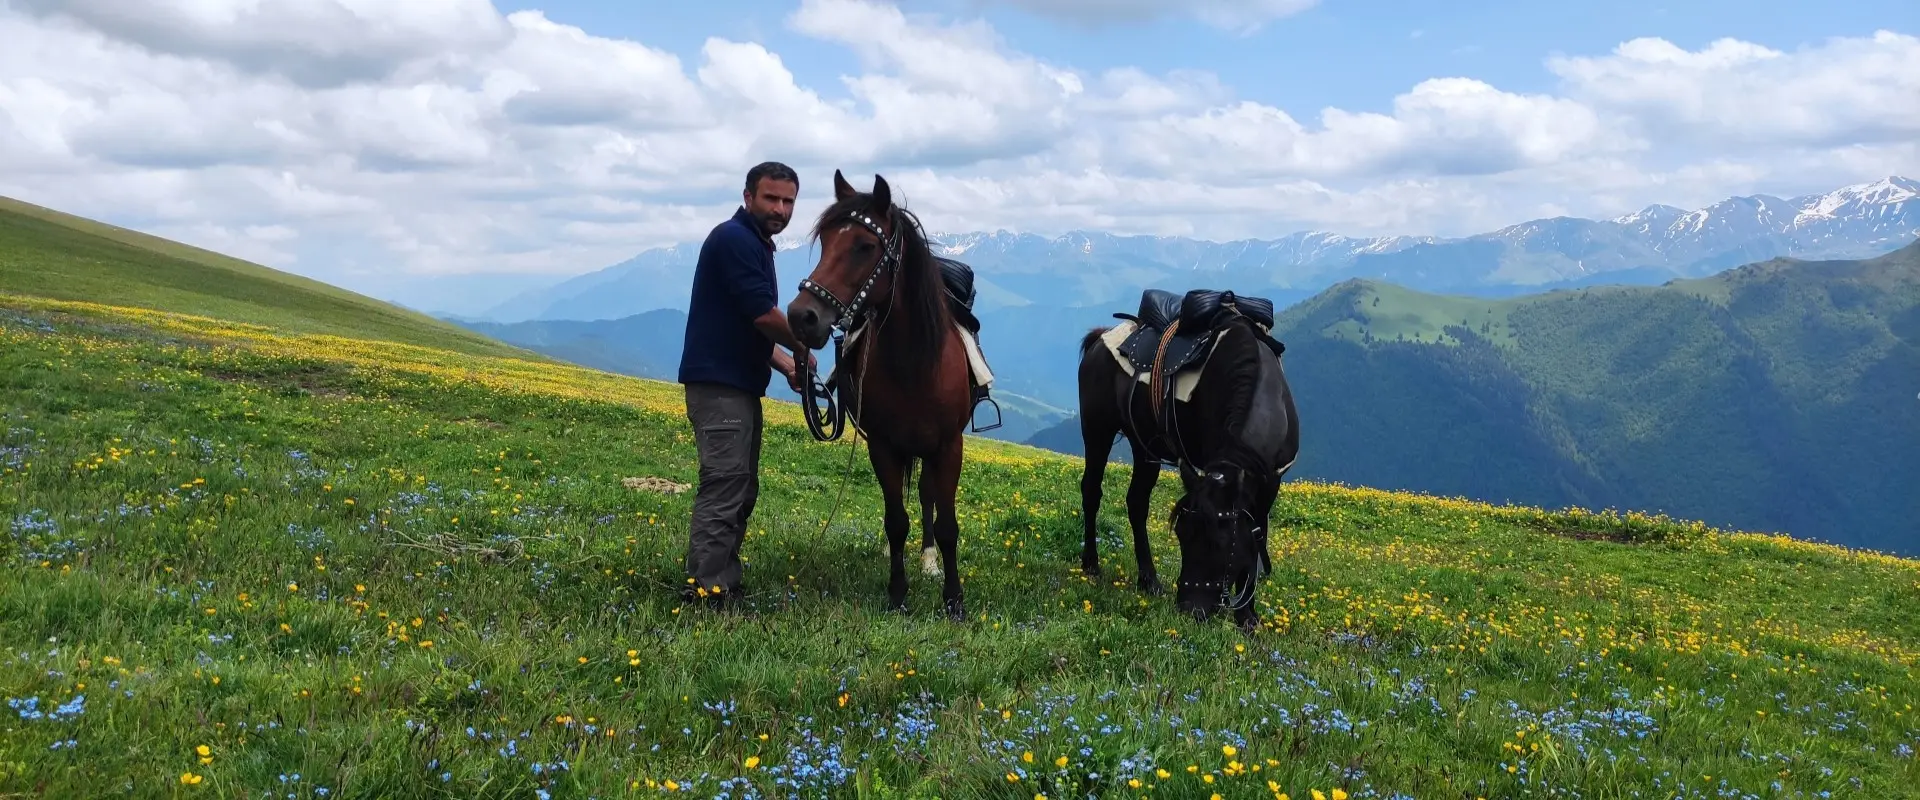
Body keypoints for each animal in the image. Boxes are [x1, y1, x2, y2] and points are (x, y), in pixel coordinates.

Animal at [787, 170, 978, 619]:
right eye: (825, 241)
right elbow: (895, 520)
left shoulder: (949, 445)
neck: (913, 363)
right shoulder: (884, 447)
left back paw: (929, 560)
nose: (802, 317)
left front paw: (954, 600)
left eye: (865, 246)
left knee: (927, 496)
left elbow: (947, 523)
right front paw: (897, 594)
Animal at [1075, 291, 1299, 629]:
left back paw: (1149, 580)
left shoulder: (1271, 480)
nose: (1190, 610)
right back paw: (1091, 564)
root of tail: (1101, 337)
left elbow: (1257, 531)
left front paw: (1247, 615)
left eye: (1220, 542)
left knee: (1137, 502)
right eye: (1181, 535)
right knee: (1092, 491)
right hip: (1097, 429)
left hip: (1145, 447)